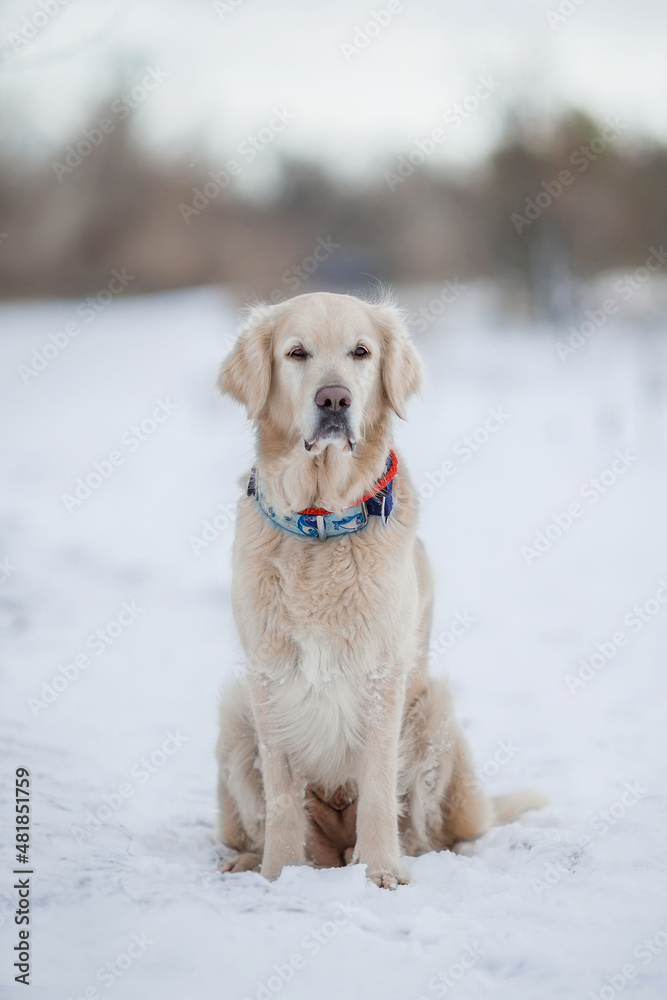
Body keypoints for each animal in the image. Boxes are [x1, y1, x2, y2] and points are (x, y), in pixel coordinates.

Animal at [214, 292, 544, 892]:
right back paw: (252, 860)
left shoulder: (382, 674)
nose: (334, 398)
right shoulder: (267, 676)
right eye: (296, 353)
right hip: (234, 712)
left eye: (361, 352)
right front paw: (279, 873)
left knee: (434, 832)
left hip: (434, 707)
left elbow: (375, 787)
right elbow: (281, 796)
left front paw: (381, 871)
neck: (321, 521)